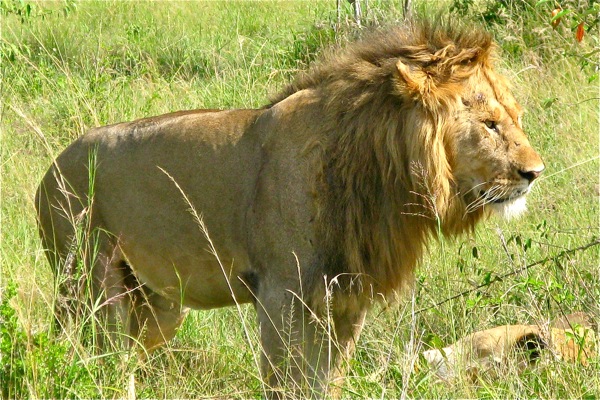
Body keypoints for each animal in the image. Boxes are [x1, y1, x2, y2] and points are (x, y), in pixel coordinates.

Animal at [35, 19, 548, 396]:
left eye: (516, 117)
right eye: (490, 124)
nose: (535, 172)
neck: (376, 171)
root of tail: (49, 171)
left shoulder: (345, 298)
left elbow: (327, 381)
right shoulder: (281, 293)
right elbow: (287, 383)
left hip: (159, 303)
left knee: (124, 358)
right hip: (90, 284)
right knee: (96, 358)